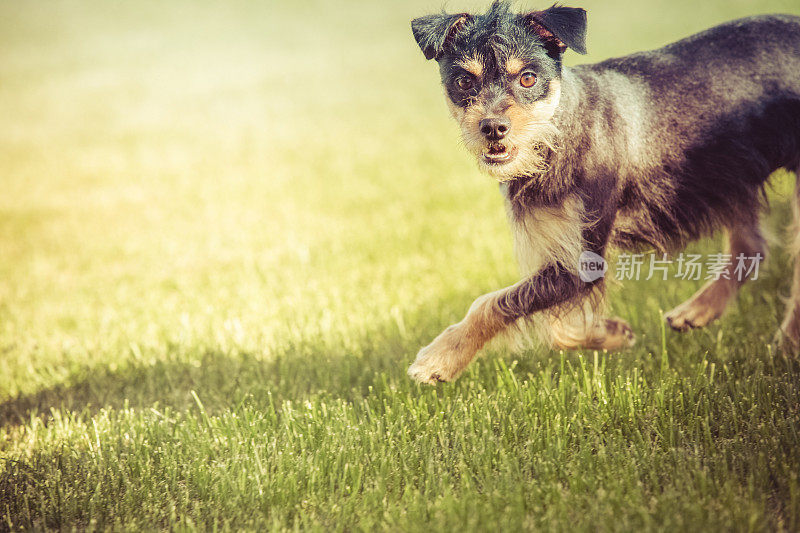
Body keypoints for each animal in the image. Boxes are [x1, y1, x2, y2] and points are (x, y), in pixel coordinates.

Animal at [406, 0, 800, 382]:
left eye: (528, 78)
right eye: (463, 81)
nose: (492, 127)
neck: (559, 131)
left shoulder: (583, 260)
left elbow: (494, 302)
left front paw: (441, 357)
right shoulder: (565, 257)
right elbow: (555, 326)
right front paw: (609, 333)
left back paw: (786, 346)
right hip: (733, 174)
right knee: (751, 246)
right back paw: (701, 310)